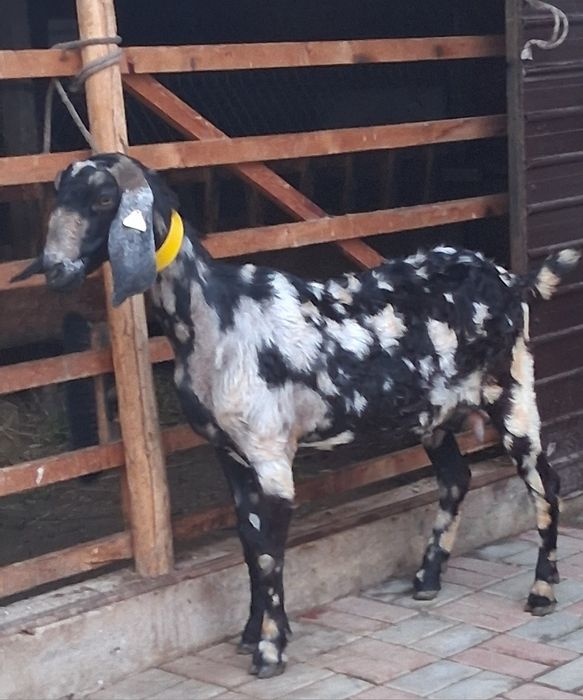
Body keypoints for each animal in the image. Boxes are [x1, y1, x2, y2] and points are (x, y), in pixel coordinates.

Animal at [14, 153, 580, 678]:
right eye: (61, 195)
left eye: (103, 199)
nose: (56, 269)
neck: (216, 314)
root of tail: (512, 280)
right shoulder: (230, 454)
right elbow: (249, 546)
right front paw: (253, 631)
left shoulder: (269, 454)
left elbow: (269, 554)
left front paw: (269, 650)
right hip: (433, 411)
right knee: (456, 478)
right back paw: (427, 578)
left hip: (512, 390)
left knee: (545, 481)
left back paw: (542, 589)